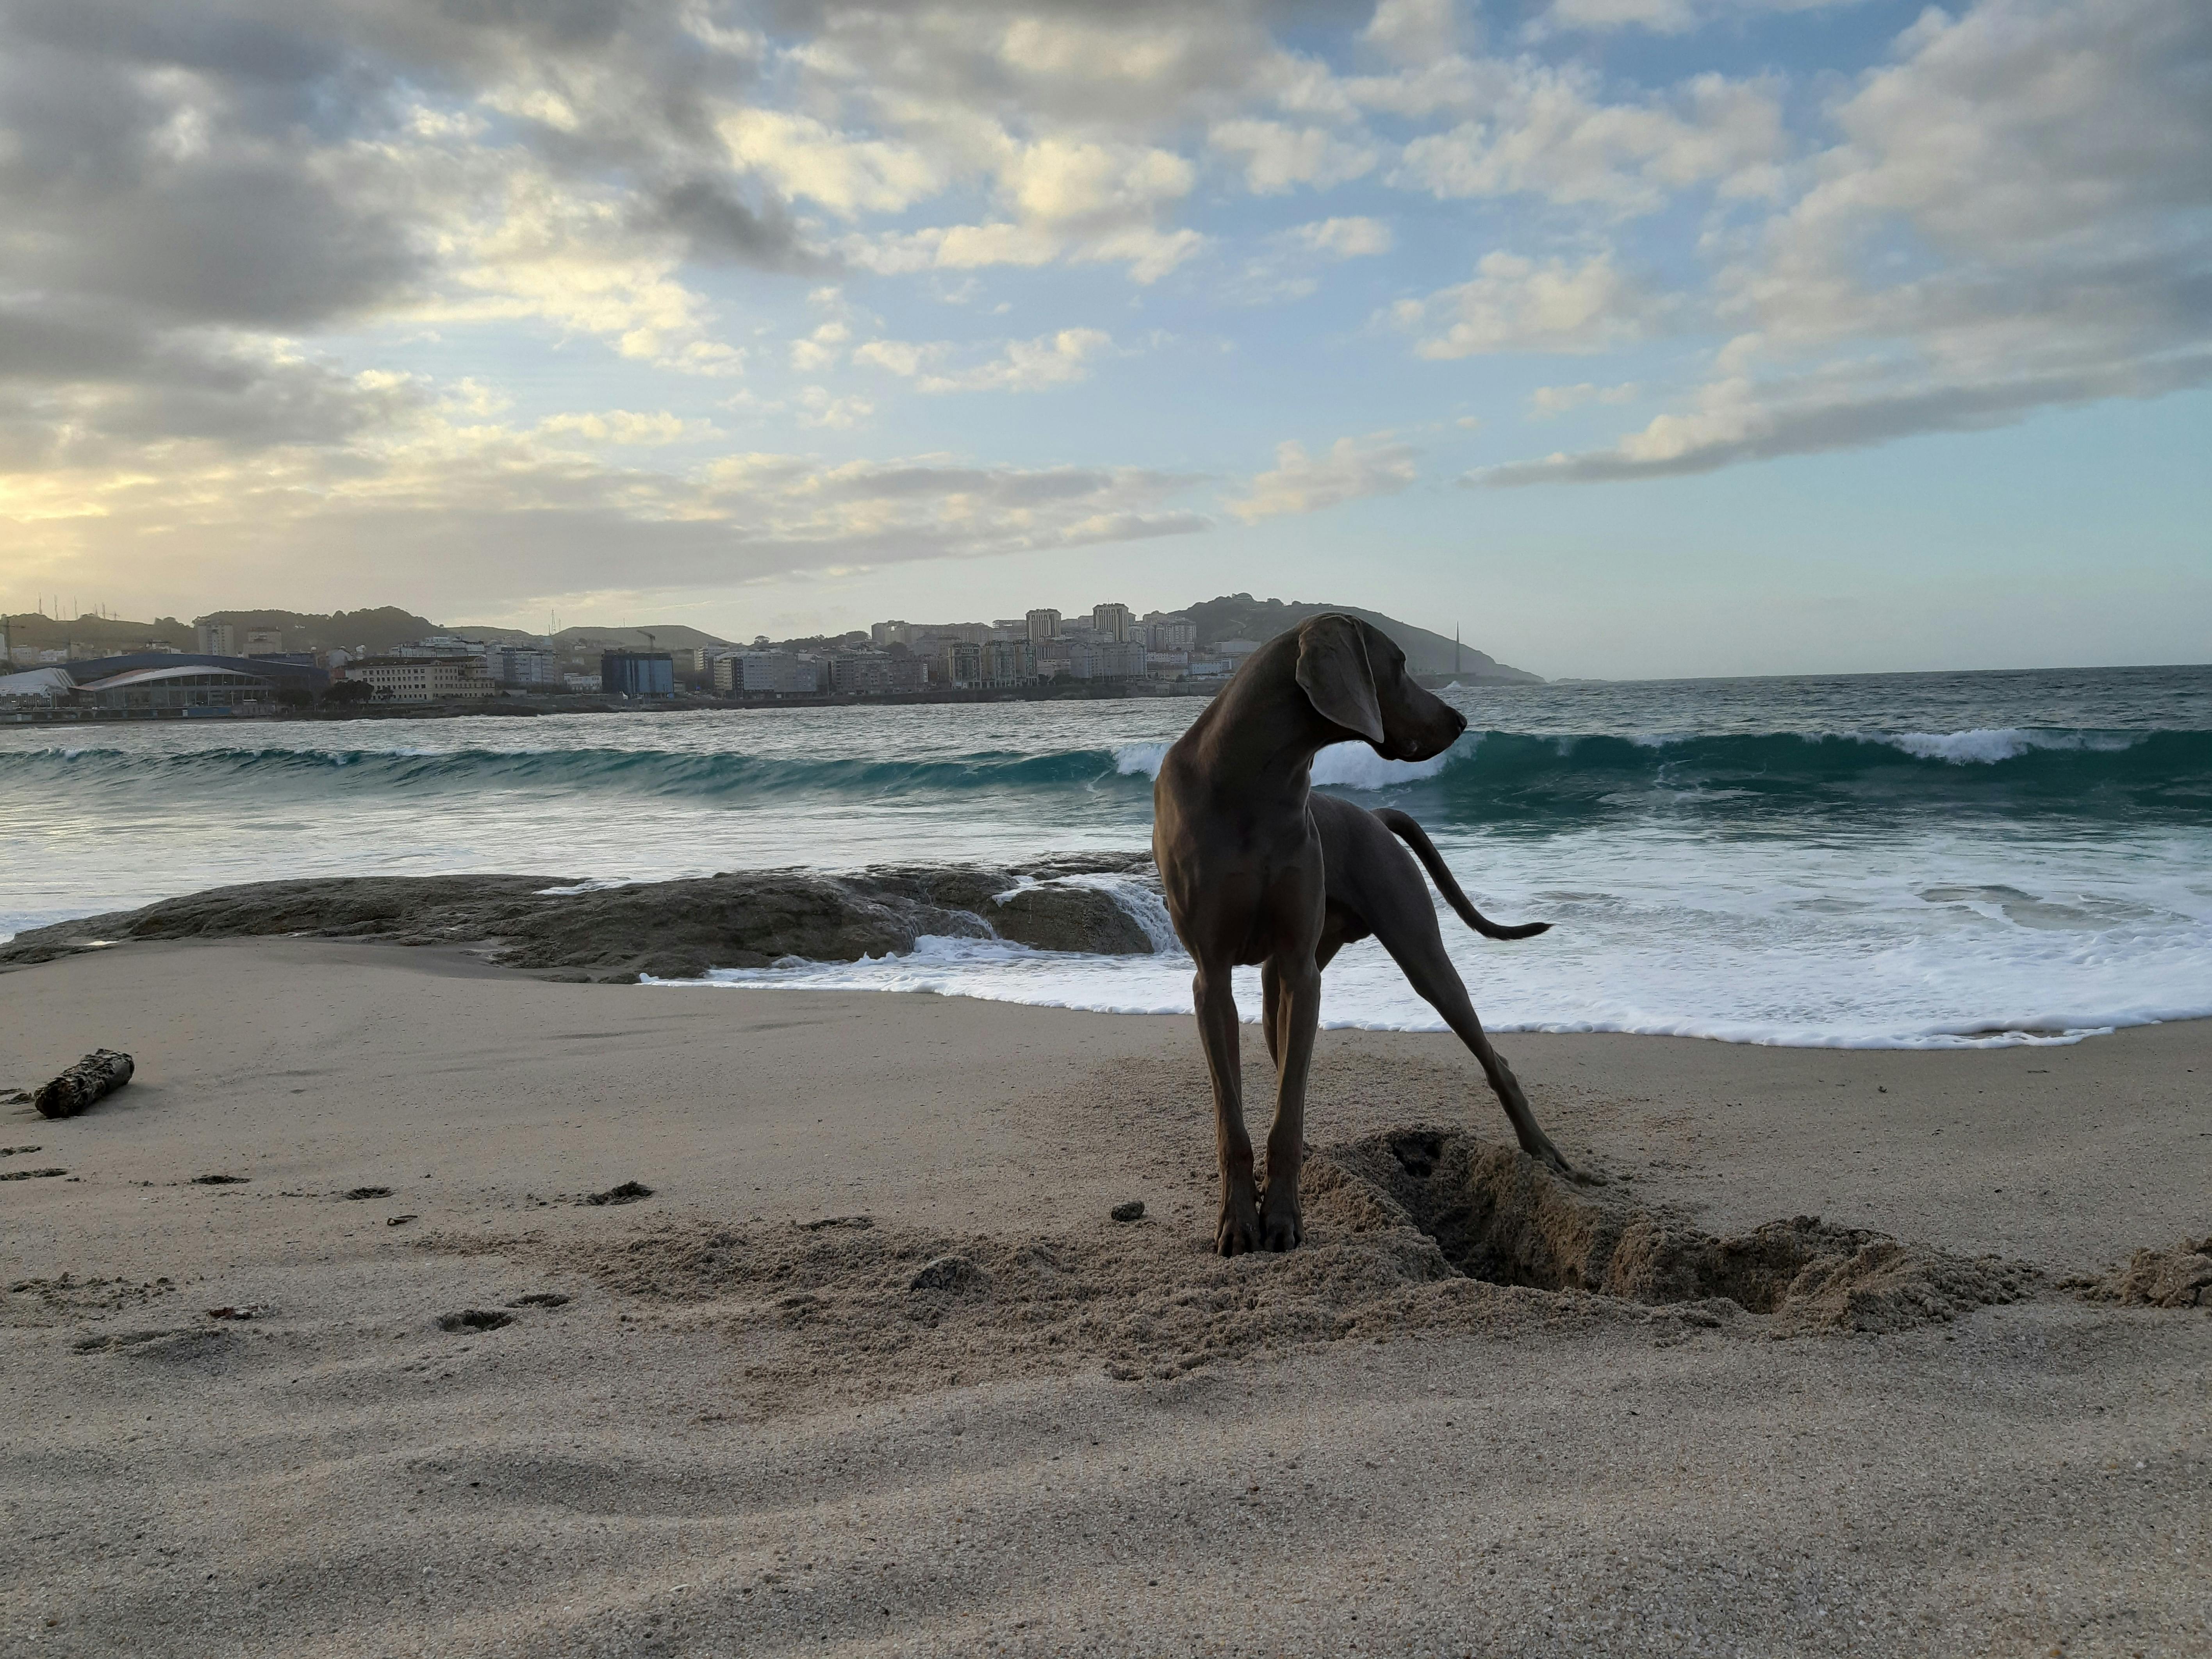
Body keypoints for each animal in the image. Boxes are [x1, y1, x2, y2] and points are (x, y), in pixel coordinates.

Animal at [1150, 615, 1584, 1256]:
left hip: (1416, 950)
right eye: (1399, 664)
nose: (1460, 720)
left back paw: (1541, 1149)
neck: (1256, 781)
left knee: (1490, 1054)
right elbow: (1234, 1118)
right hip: (1286, 979)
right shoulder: (1213, 975)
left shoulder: (1301, 968)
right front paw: (1238, 1222)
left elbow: (1288, 1111)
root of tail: (1375, 818)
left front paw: (1282, 1219)